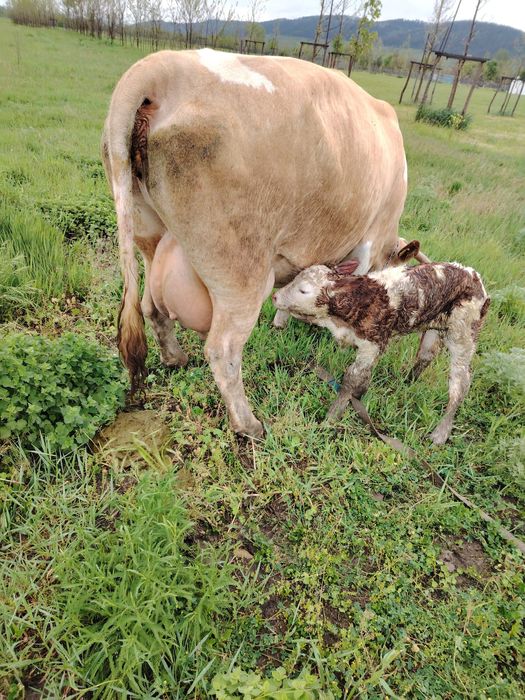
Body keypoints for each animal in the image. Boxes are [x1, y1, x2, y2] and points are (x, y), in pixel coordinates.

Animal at [102, 48, 409, 438]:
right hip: (241, 271)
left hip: (147, 233)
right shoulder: (370, 240)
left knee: (150, 307)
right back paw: (249, 424)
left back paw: (175, 358)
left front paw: (284, 320)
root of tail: (160, 66)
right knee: (223, 348)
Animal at [272, 256, 490, 444]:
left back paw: (440, 433)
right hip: (433, 329)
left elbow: (351, 378)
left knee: (460, 384)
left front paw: (331, 417)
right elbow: (363, 376)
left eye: (303, 291)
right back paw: (407, 382)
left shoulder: (373, 343)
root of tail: (475, 277)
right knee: (425, 356)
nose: (274, 296)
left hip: (463, 333)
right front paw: (359, 397)